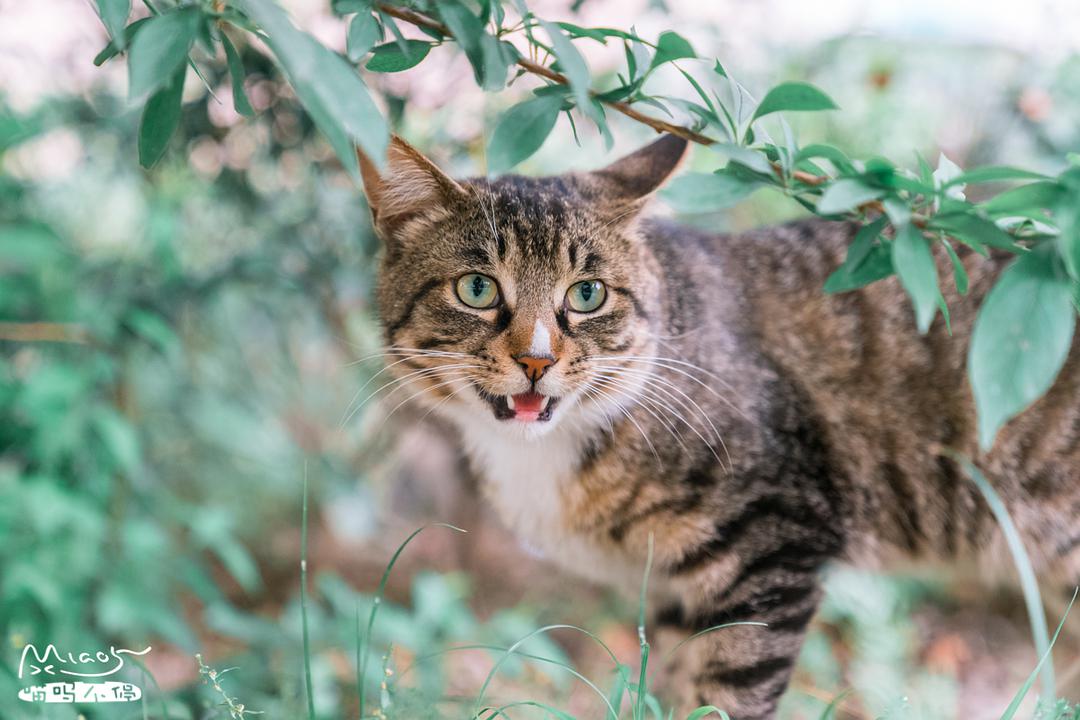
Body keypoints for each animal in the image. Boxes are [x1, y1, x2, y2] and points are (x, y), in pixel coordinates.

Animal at [356, 133, 1080, 716]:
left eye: (587, 295)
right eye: (477, 289)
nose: (536, 360)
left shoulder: (772, 540)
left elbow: (726, 694)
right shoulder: (673, 594)